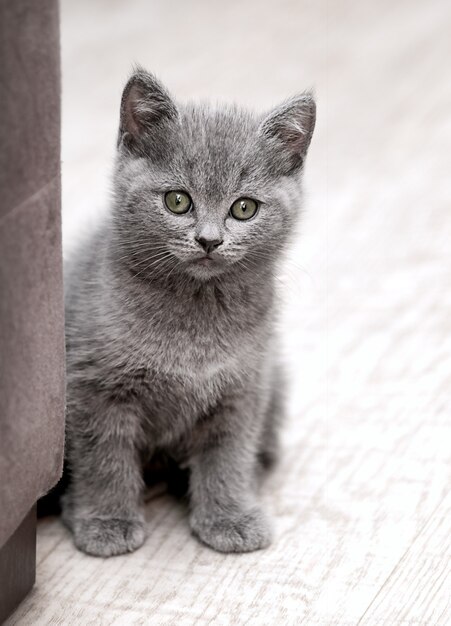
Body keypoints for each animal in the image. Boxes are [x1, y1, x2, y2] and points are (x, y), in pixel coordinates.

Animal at [62, 69, 318, 556]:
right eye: (177, 201)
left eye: (244, 208)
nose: (209, 240)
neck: (196, 320)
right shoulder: (94, 387)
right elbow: (104, 456)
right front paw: (107, 521)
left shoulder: (244, 386)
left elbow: (228, 454)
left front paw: (229, 516)